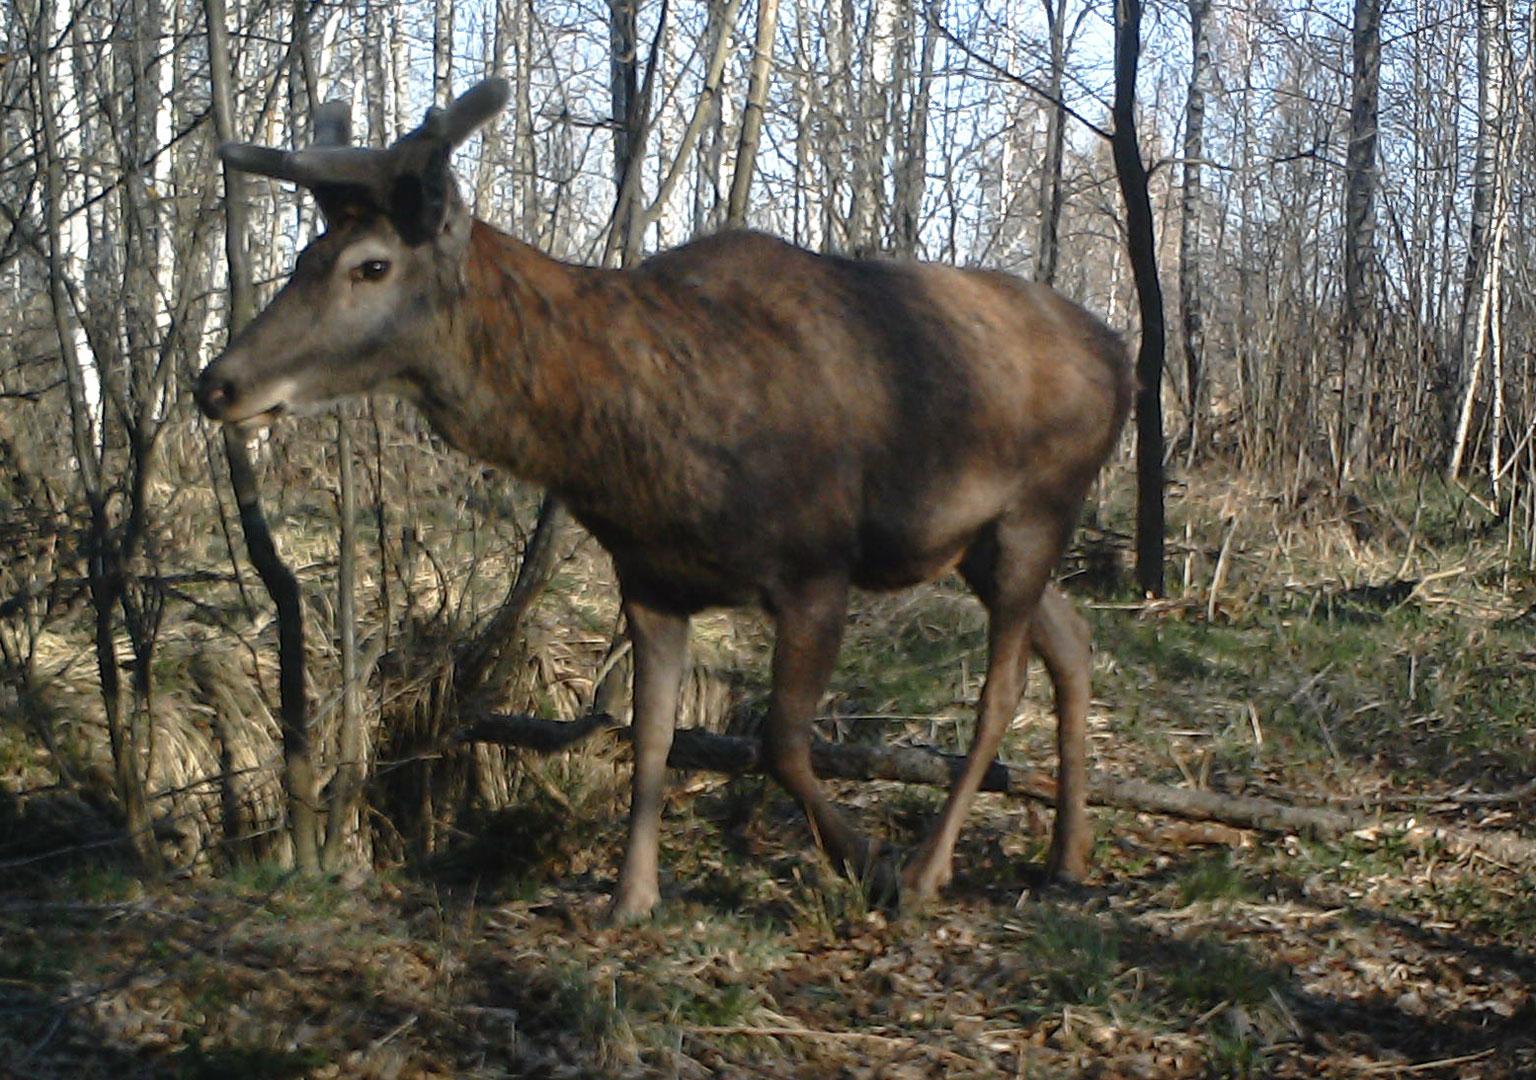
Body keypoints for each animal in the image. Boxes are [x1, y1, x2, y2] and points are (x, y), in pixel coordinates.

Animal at [195, 80, 1130, 921]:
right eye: (303, 260)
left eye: (372, 265)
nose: (218, 382)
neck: (640, 451)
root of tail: (1121, 350)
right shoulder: (649, 577)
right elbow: (649, 737)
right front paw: (629, 899)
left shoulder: (815, 565)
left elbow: (780, 743)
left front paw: (871, 865)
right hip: (975, 541)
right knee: (1074, 642)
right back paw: (1069, 855)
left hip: (1038, 506)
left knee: (1004, 686)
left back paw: (933, 868)